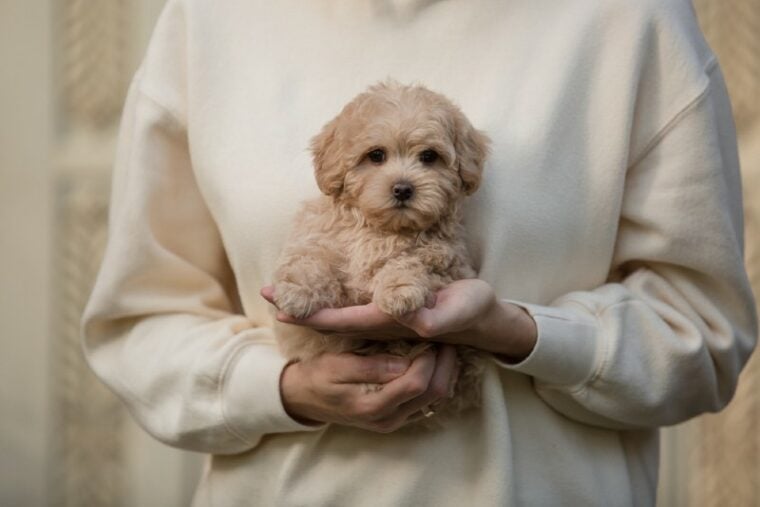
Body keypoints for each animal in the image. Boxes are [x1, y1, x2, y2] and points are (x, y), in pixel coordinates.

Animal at [270, 82, 490, 424]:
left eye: (429, 157)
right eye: (376, 155)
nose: (402, 189)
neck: (381, 229)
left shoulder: (448, 263)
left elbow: (411, 261)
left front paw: (399, 289)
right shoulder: (320, 238)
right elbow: (313, 259)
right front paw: (298, 290)